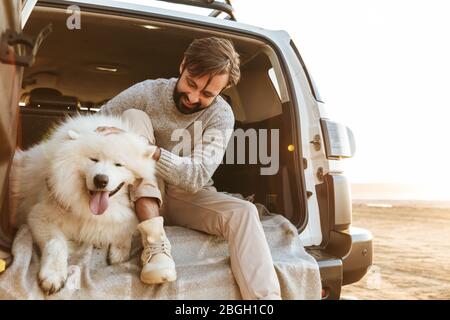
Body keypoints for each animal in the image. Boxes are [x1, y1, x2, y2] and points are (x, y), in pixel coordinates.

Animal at [8, 115, 158, 296]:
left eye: (118, 164)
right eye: (93, 159)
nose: (101, 180)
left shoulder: (124, 215)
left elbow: (125, 226)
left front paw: (119, 249)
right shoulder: (39, 214)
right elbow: (56, 242)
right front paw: (53, 275)